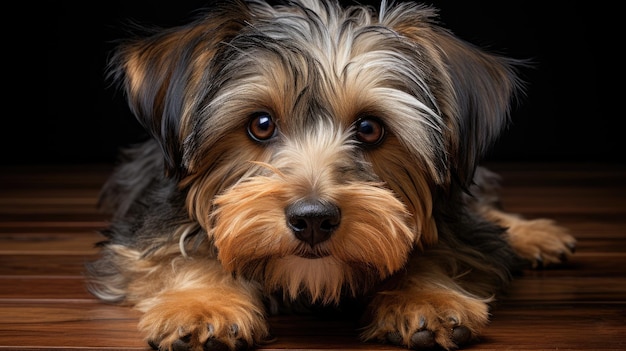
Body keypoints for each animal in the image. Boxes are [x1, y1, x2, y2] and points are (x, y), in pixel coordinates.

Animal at [86, 1, 576, 350]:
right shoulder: (148, 221)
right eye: (260, 124)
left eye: (370, 128)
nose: (313, 219)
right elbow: (177, 249)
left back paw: (534, 235)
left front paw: (426, 296)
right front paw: (202, 304)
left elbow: (443, 245)